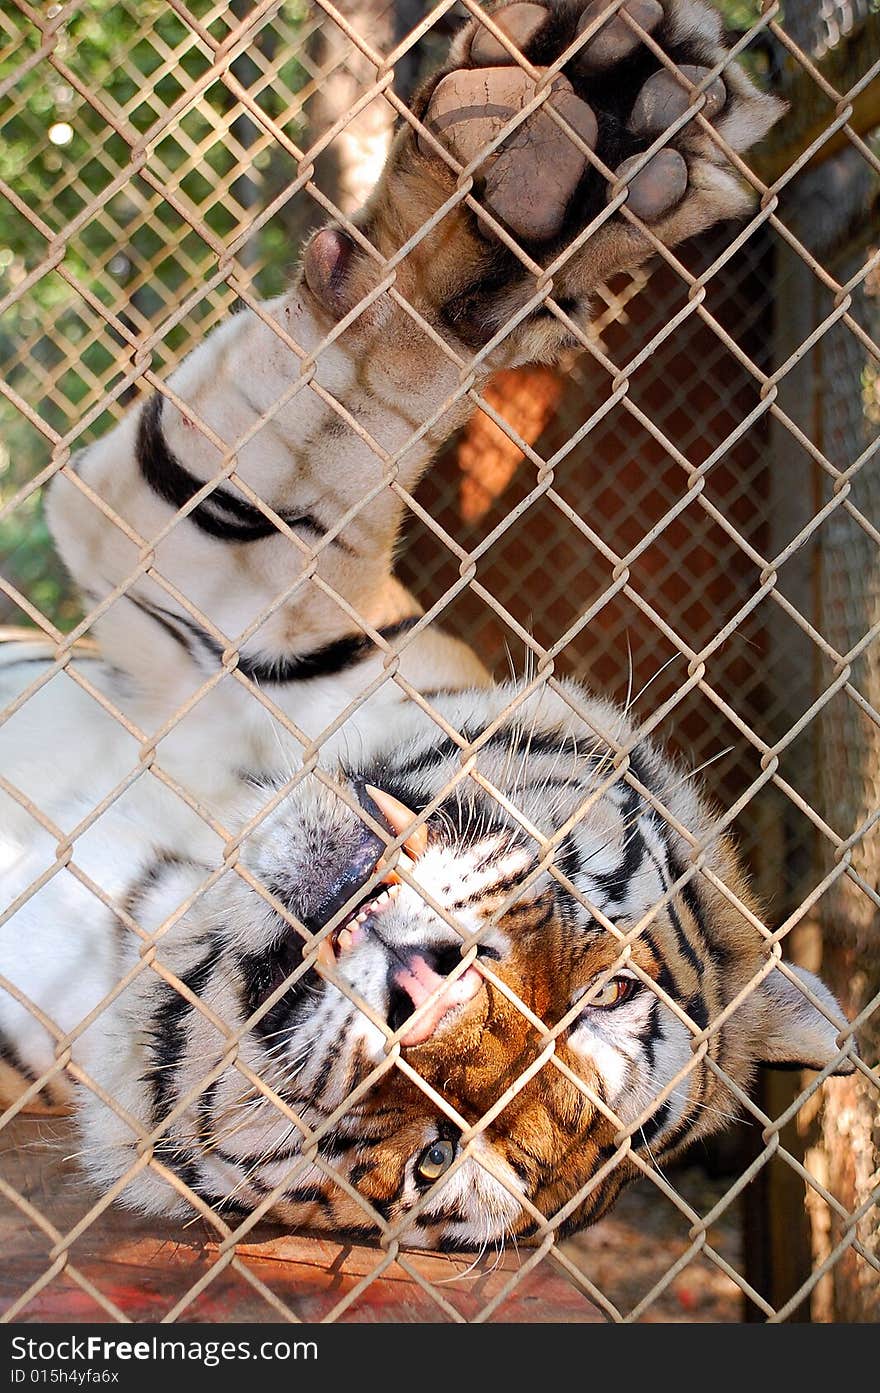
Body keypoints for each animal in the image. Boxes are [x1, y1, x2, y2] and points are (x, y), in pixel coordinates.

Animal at [0, 0, 852, 1259]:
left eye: (433, 1158)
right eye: (607, 986)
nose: (416, 981)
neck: (170, 880)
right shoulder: (223, 569)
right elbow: (367, 381)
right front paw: (562, 160)